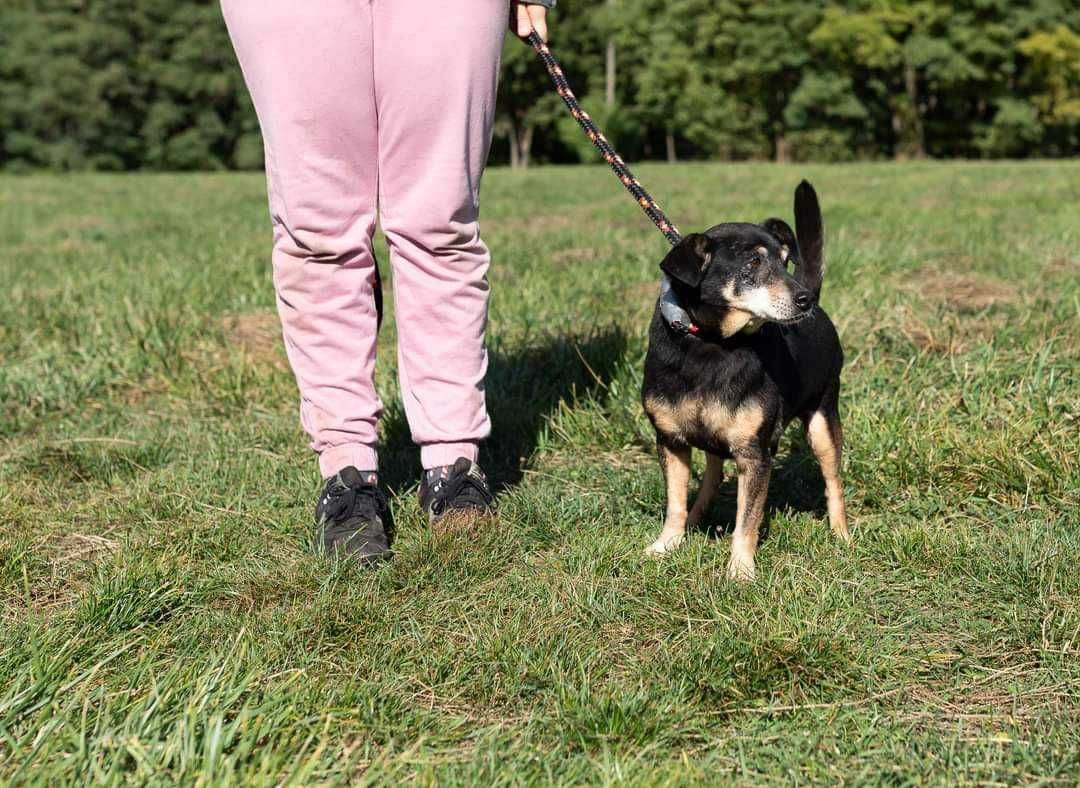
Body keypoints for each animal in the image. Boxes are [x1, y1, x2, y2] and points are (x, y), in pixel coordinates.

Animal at [639, 182, 851, 578]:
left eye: (785, 260)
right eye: (753, 263)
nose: (803, 299)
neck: (711, 342)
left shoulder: (754, 454)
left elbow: (747, 518)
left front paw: (740, 570)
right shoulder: (670, 440)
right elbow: (674, 503)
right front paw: (665, 546)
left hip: (823, 420)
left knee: (833, 481)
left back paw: (842, 535)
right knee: (712, 475)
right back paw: (695, 519)